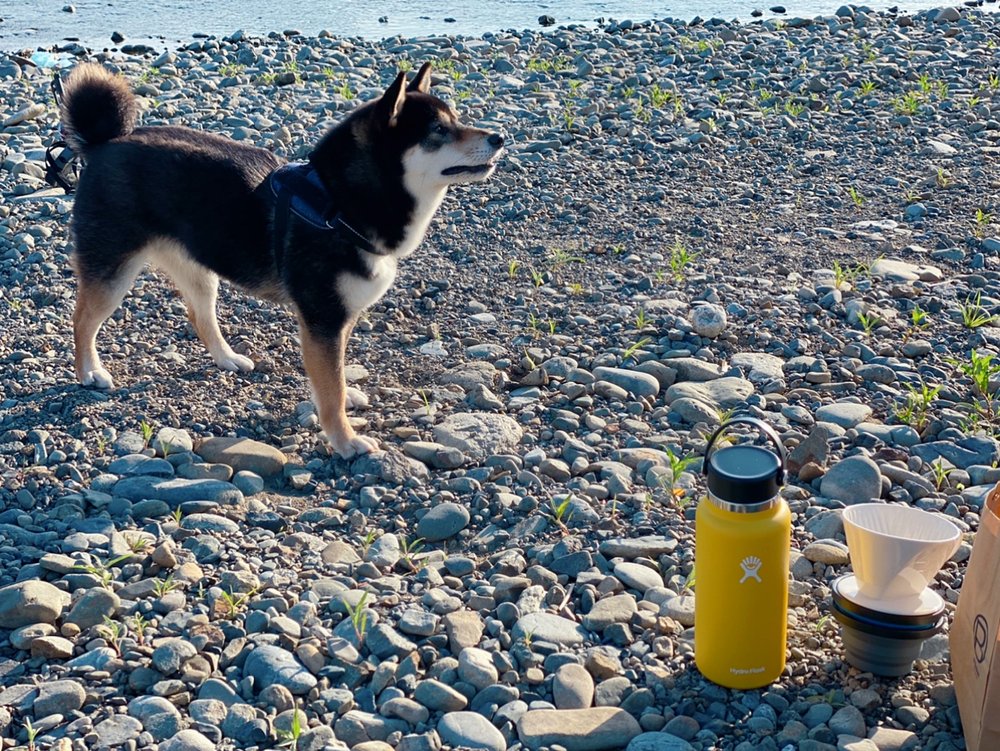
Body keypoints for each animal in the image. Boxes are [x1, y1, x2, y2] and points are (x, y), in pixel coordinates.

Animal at [58, 61, 504, 458]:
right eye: (439, 131)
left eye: (456, 119)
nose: (499, 137)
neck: (339, 203)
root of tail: (105, 144)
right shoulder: (323, 317)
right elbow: (330, 387)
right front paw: (345, 441)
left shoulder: (339, 318)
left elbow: (335, 375)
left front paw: (346, 402)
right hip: (113, 270)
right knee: (82, 320)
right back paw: (88, 371)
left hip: (200, 270)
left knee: (199, 316)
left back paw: (226, 357)